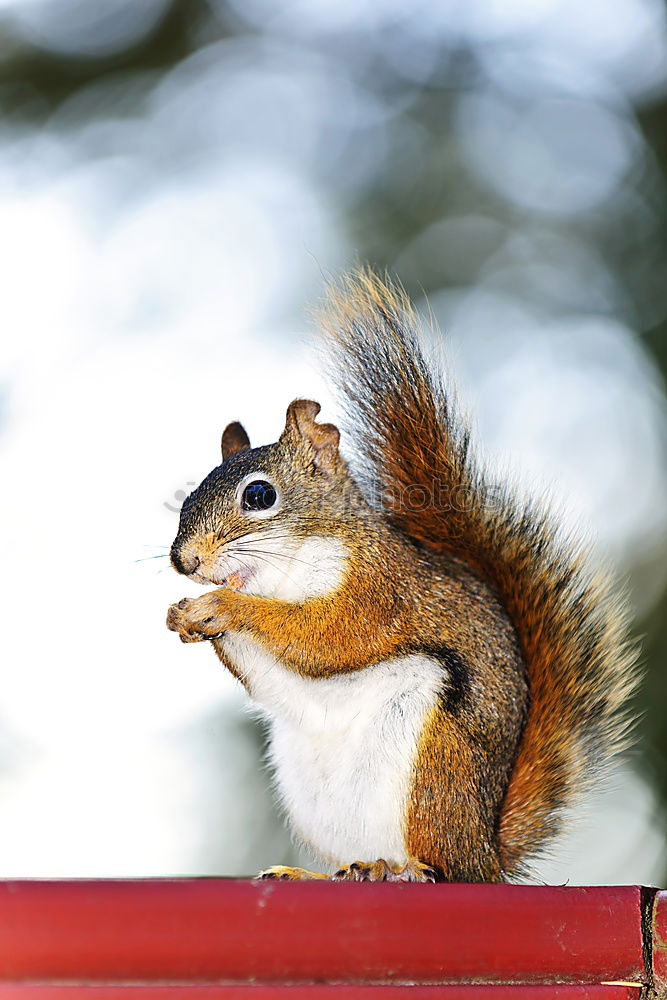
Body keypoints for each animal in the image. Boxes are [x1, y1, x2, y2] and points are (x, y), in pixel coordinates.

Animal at [166, 268, 636, 884]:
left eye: (260, 495)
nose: (185, 562)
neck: (285, 573)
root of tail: (485, 851)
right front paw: (184, 615)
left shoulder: (380, 589)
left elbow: (332, 637)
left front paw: (226, 609)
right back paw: (326, 873)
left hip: (433, 767)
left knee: (442, 864)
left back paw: (409, 868)